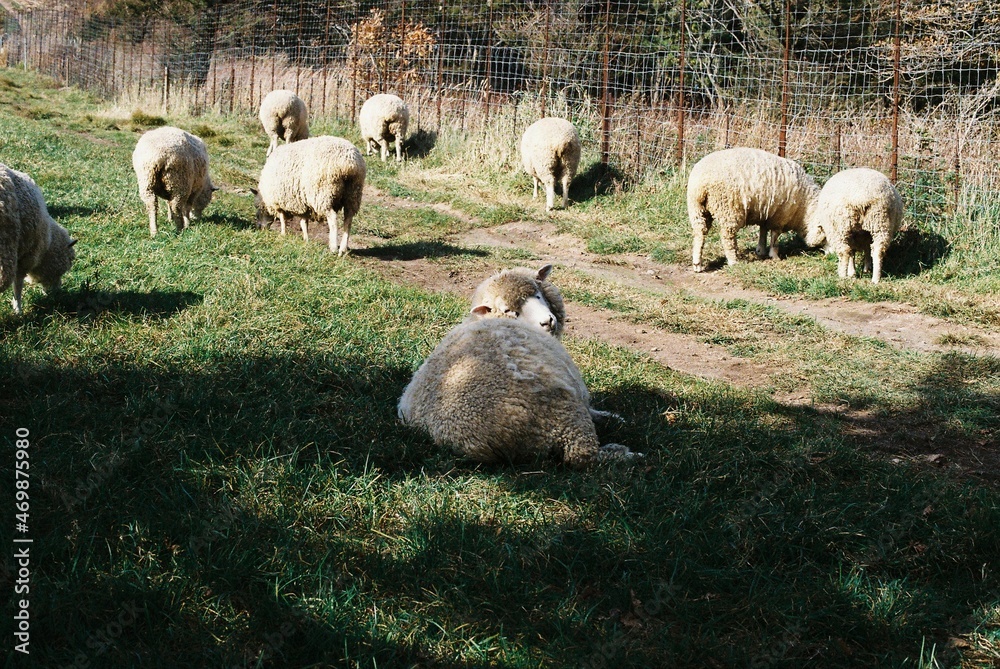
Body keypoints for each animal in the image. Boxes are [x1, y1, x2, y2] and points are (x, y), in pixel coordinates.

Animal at [398, 266, 637, 467]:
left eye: (537, 294)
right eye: (510, 310)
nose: (547, 322)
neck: (478, 319)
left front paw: (611, 416)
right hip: (563, 411)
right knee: (584, 456)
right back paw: (626, 455)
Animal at [688, 147, 820, 271]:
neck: (805, 207)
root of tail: (701, 184)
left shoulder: (766, 213)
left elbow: (763, 230)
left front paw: (760, 250)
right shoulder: (780, 216)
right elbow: (774, 236)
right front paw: (774, 255)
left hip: (697, 209)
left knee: (700, 232)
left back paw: (697, 264)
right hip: (727, 208)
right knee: (727, 236)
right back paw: (733, 261)